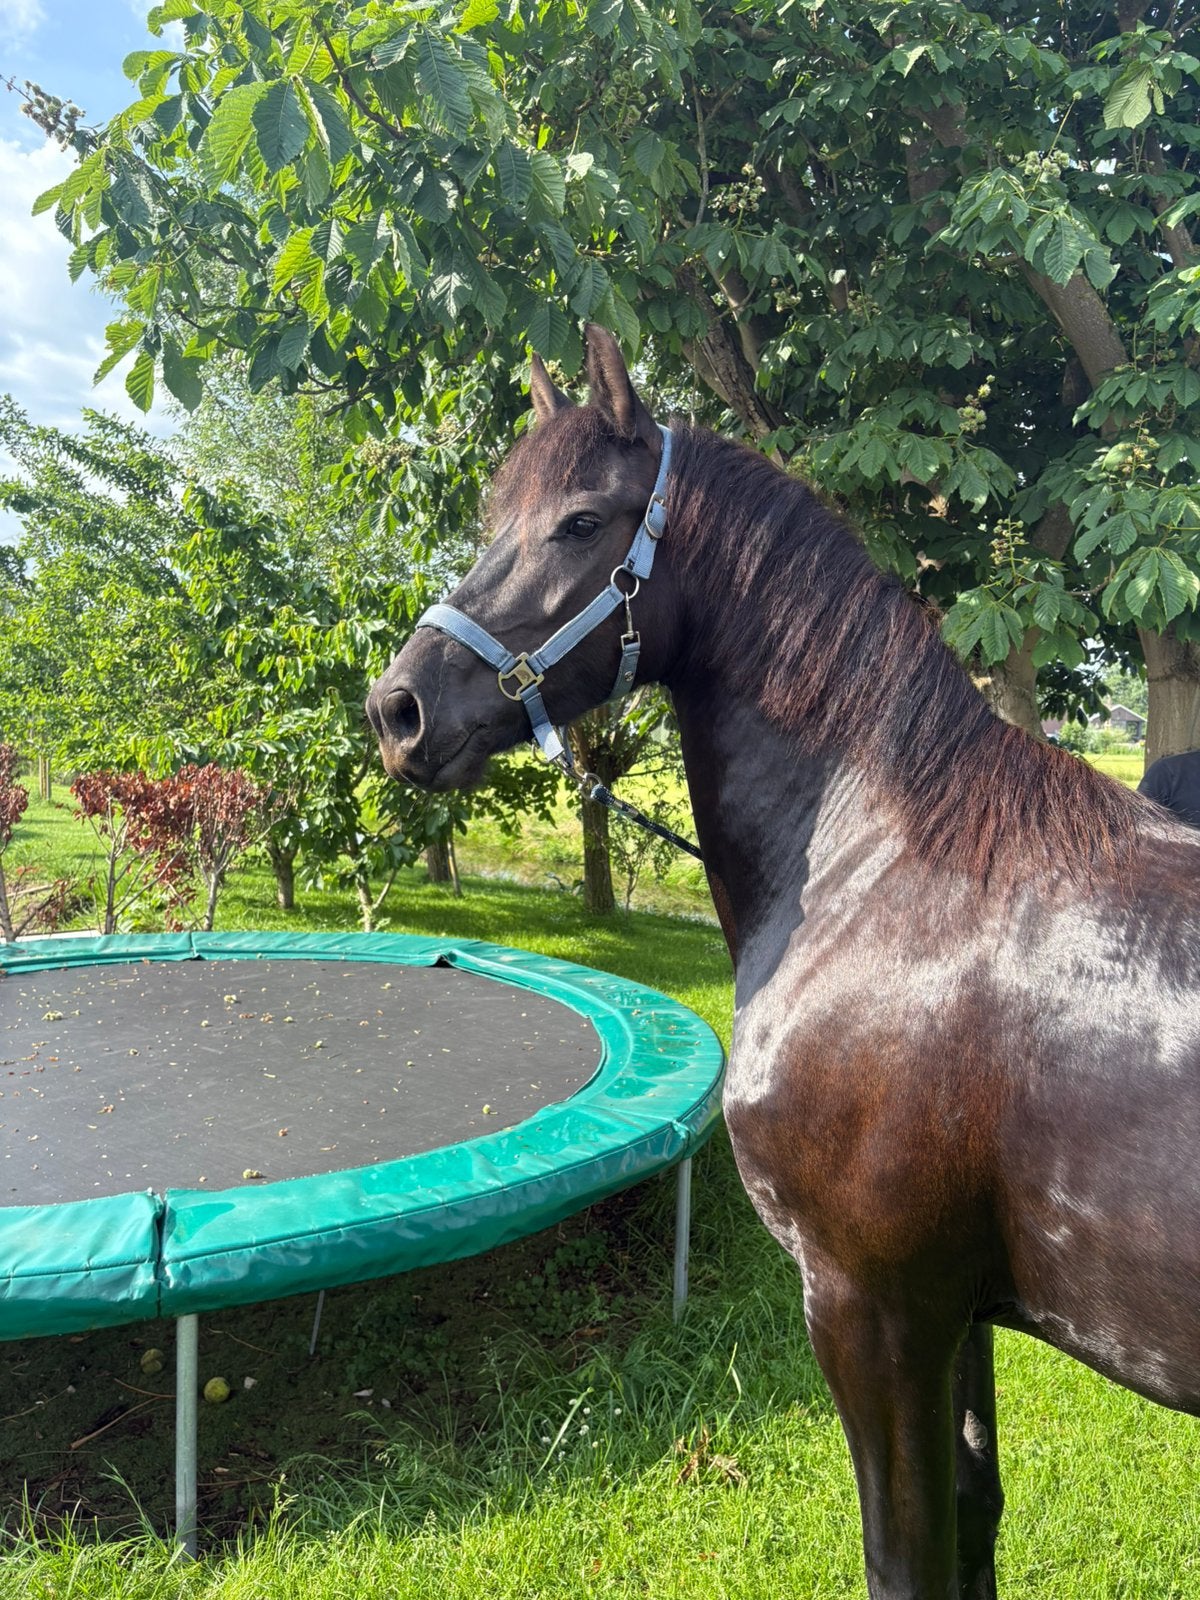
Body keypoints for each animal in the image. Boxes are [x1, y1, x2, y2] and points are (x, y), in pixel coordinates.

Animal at [366, 323, 1199, 1599]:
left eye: (580, 522)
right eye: (495, 515)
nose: (397, 708)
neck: (889, 875)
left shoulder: (871, 1307)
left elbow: (906, 1556)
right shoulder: (956, 1316)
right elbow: (975, 1519)